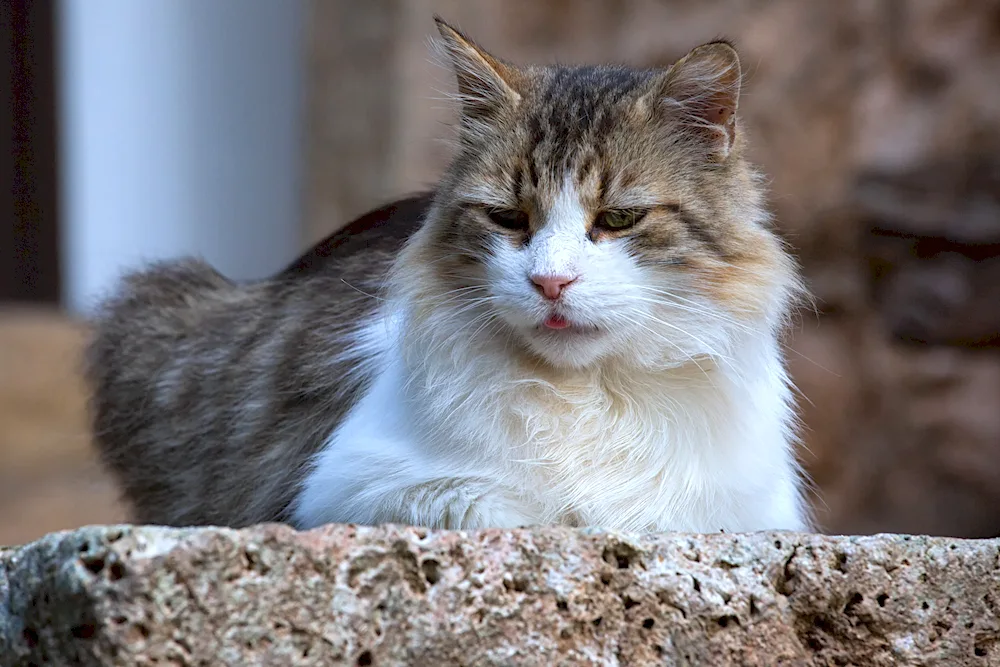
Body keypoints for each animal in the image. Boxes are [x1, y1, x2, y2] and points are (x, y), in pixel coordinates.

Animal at [88, 18, 812, 536]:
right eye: (508, 218)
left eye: (619, 218)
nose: (551, 283)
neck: (586, 393)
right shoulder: (346, 487)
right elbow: (508, 505)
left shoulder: (750, 513)